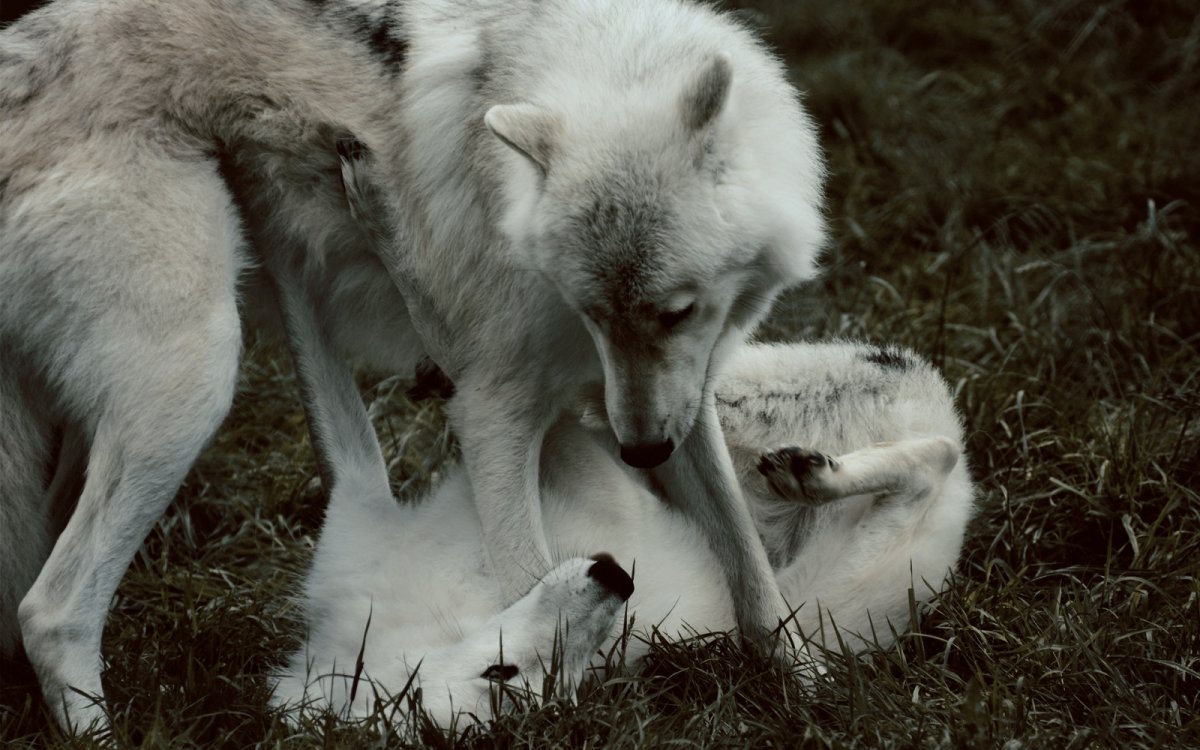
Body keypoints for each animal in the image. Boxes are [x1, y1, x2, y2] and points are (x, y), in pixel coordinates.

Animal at [0, 0, 824, 730]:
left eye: (675, 312)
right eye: (590, 310)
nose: (641, 453)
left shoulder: (678, 400)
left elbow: (749, 562)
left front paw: (808, 683)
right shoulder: (494, 413)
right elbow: (527, 575)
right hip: (193, 386)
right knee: (52, 611)